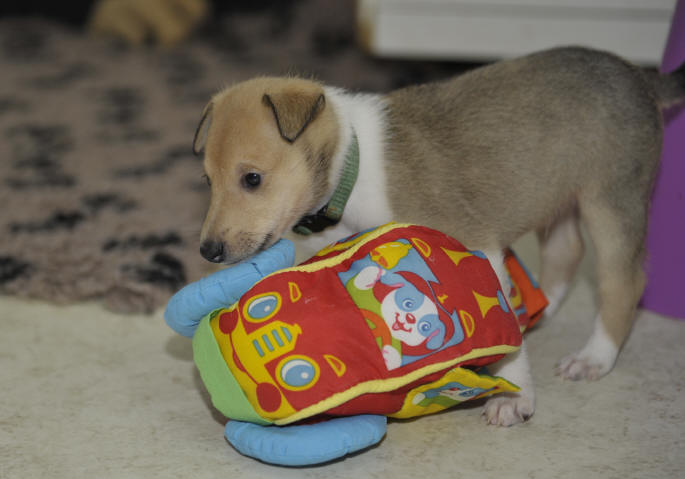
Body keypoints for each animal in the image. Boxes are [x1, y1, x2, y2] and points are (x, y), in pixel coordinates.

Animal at [192, 46, 685, 426]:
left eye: (252, 178)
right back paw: (540, 311)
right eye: (208, 180)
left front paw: (515, 396)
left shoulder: (478, 245)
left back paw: (594, 357)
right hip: (560, 197)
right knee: (567, 252)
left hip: (612, 199)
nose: (208, 251)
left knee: (624, 282)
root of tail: (638, 74)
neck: (353, 165)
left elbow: (506, 335)